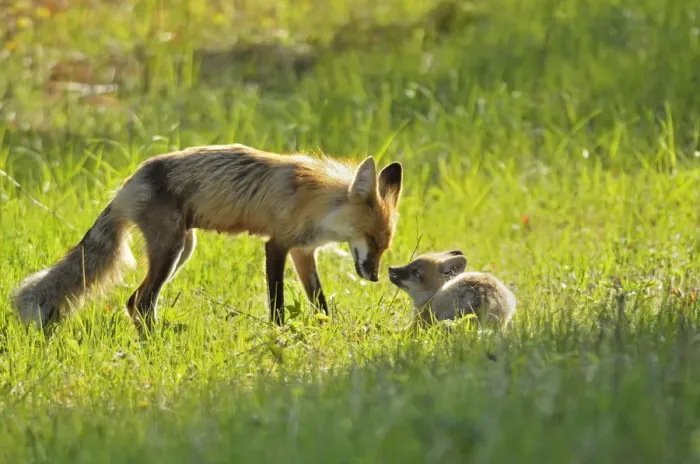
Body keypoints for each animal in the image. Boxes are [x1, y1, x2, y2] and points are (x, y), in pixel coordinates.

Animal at [12, 144, 403, 332]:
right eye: (372, 240)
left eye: (385, 246)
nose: (374, 277)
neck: (316, 201)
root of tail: (129, 182)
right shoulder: (277, 244)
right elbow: (277, 301)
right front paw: (280, 333)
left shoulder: (304, 252)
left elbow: (319, 300)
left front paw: (329, 328)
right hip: (170, 250)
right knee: (141, 301)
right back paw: (156, 341)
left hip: (183, 248)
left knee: (135, 301)